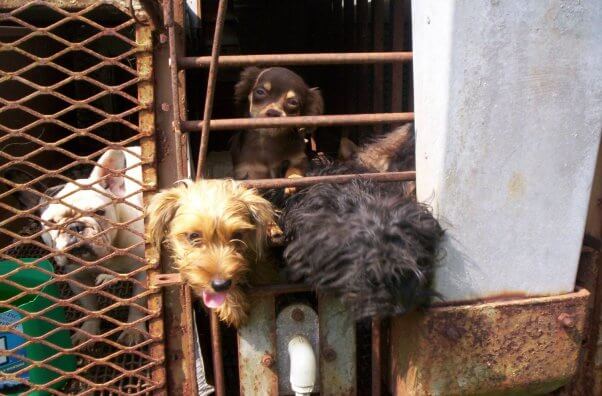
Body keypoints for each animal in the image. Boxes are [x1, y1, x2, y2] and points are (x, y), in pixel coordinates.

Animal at [14, 147, 145, 344]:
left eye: (99, 212)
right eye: (51, 223)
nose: (75, 227)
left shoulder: (142, 273)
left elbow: (137, 304)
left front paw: (133, 331)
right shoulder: (78, 280)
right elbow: (89, 307)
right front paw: (89, 331)